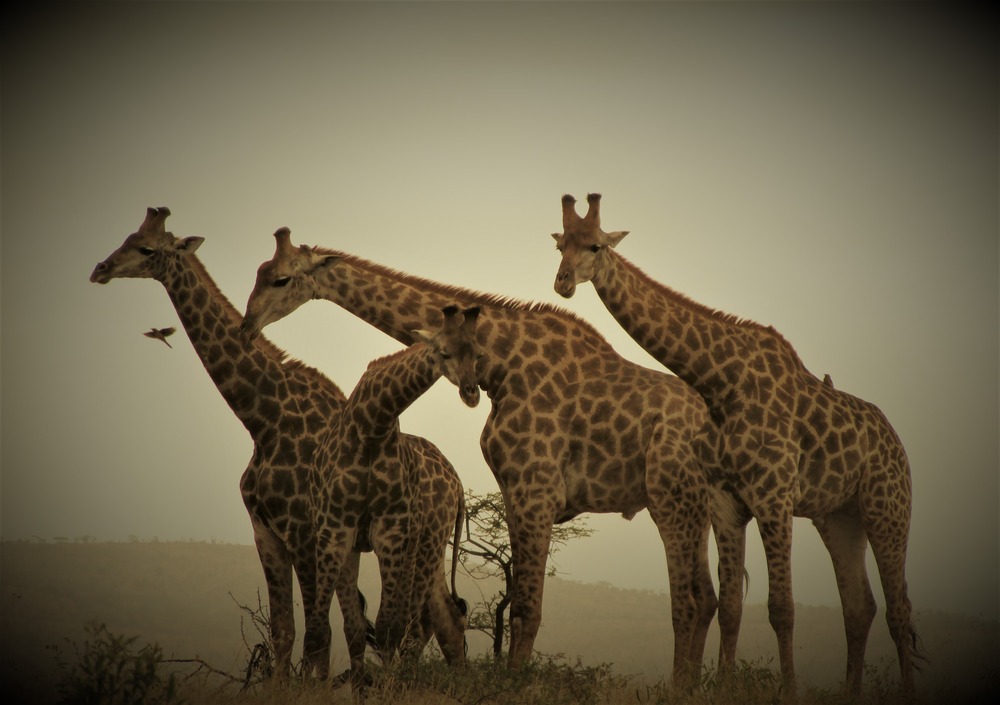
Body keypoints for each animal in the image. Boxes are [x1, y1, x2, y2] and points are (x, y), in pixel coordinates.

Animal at [89, 208, 468, 680]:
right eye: (127, 238)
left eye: (146, 249)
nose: (100, 269)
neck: (263, 419)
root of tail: (457, 484)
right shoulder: (265, 532)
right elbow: (286, 632)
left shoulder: (302, 532)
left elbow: (319, 637)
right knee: (444, 619)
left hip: (422, 543)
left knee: (419, 624)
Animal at [310, 304, 482, 688]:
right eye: (443, 352)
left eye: (478, 353)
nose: (472, 393)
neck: (372, 425)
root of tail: (458, 484)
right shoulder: (335, 529)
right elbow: (325, 626)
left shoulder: (391, 531)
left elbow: (388, 627)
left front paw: (386, 689)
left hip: (428, 542)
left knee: (419, 623)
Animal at [552, 192, 916, 700]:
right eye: (560, 244)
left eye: (596, 247)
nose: (563, 283)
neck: (719, 384)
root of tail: (896, 441)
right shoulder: (726, 504)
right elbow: (730, 607)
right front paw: (724, 686)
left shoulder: (774, 496)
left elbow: (781, 607)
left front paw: (788, 692)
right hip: (841, 517)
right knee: (860, 606)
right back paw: (850, 694)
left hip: (888, 508)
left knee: (901, 609)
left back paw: (909, 691)